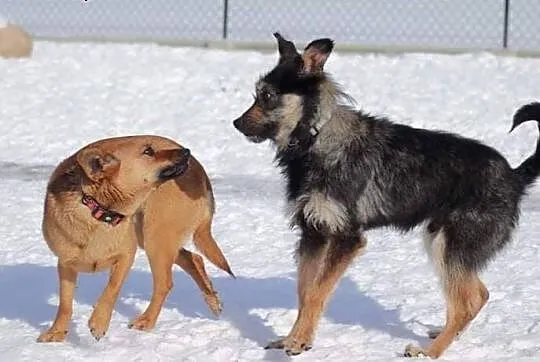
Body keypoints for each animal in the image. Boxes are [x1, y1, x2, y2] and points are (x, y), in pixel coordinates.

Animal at [37, 136, 232, 342]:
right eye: (148, 151)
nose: (187, 151)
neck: (98, 211)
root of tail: (200, 170)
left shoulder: (126, 256)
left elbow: (112, 288)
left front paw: (99, 322)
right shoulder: (65, 264)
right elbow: (65, 304)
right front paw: (57, 332)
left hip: (156, 238)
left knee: (165, 283)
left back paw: (147, 320)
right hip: (151, 237)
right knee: (194, 259)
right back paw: (212, 300)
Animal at [232, 32, 540, 358]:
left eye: (267, 96)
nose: (236, 123)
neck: (316, 137)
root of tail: (515, 176)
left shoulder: (346, 237)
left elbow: (317, 291)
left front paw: (299, 341)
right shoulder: (313, 231)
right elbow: (305, 290)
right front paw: (293, 337)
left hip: (452, 245)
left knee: (469, 301)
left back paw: (430, 352)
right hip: (440, 241)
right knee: (476, 293)